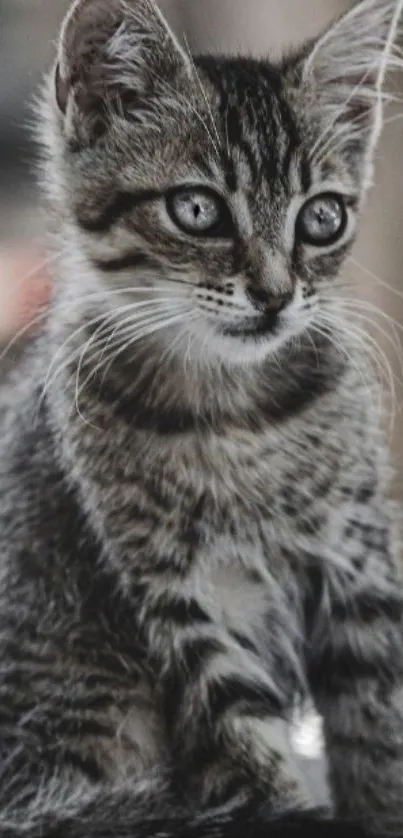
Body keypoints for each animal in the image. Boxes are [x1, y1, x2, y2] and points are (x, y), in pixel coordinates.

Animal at [0, 0, 403, 836]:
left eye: (321, 218)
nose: (275, 295)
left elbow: (379, 730)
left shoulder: (359, 569)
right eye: (197, 211)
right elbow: (244, 744)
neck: (234, 413)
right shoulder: (181, 598)